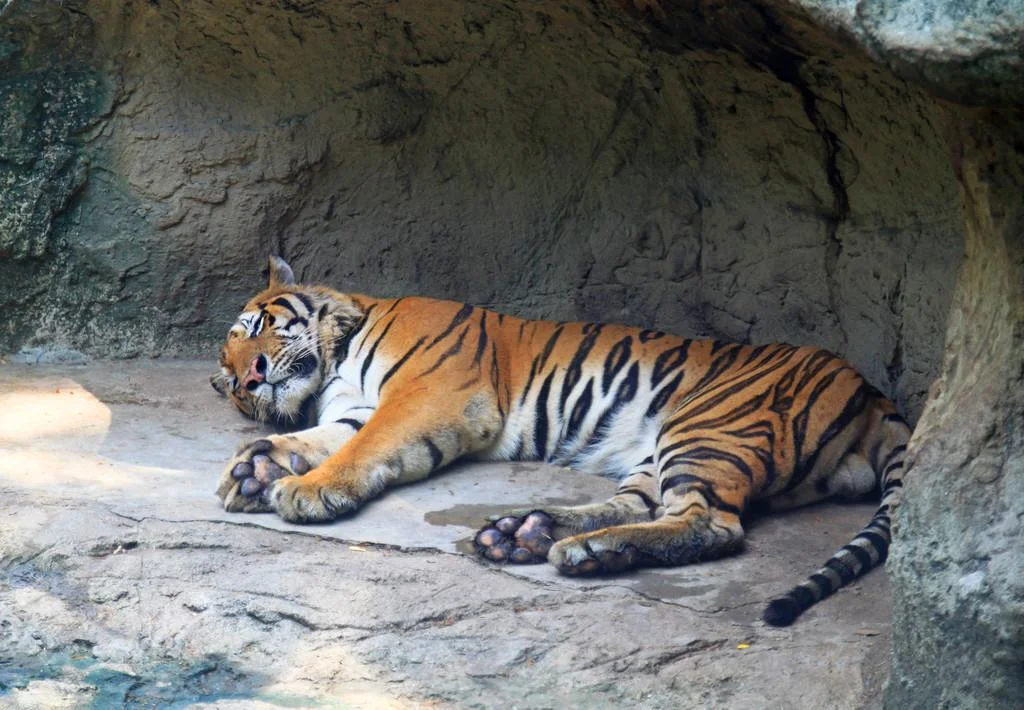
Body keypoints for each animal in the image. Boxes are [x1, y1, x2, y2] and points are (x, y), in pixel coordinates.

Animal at [212, 256, 909, 626]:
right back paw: (532, 533)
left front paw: (304, 491)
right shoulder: (358, 409)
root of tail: (873, 393)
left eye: (257, 327)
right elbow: (322, 438)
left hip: (708, 425)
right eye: (230, 379)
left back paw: (578, 548)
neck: (337, 357)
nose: (248, 379)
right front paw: (256, 469)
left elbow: (363, 449)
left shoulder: (429, 396)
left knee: (711, 523)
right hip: (666, 447)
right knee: (644, 505)